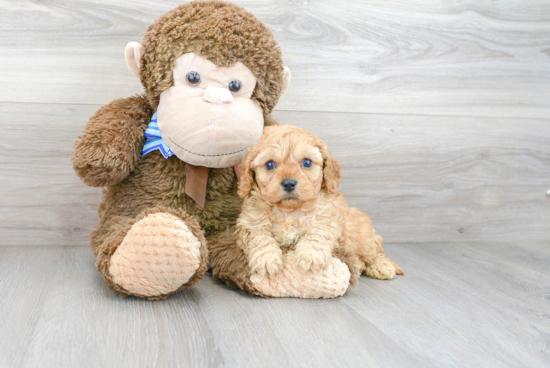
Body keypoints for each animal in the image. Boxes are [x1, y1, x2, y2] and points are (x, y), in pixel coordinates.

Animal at [237, 125, 406, 280]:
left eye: (307, 162)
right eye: (269, 165)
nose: (289, 183)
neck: (289, 211)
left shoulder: (327, 220)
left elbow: (317, 234)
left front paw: (310, 256)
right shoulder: (250, 223)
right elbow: (260, 238)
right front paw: (267, 260)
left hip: (364, 239)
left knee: (376, 252)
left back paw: (382, 266)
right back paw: (358, 265)